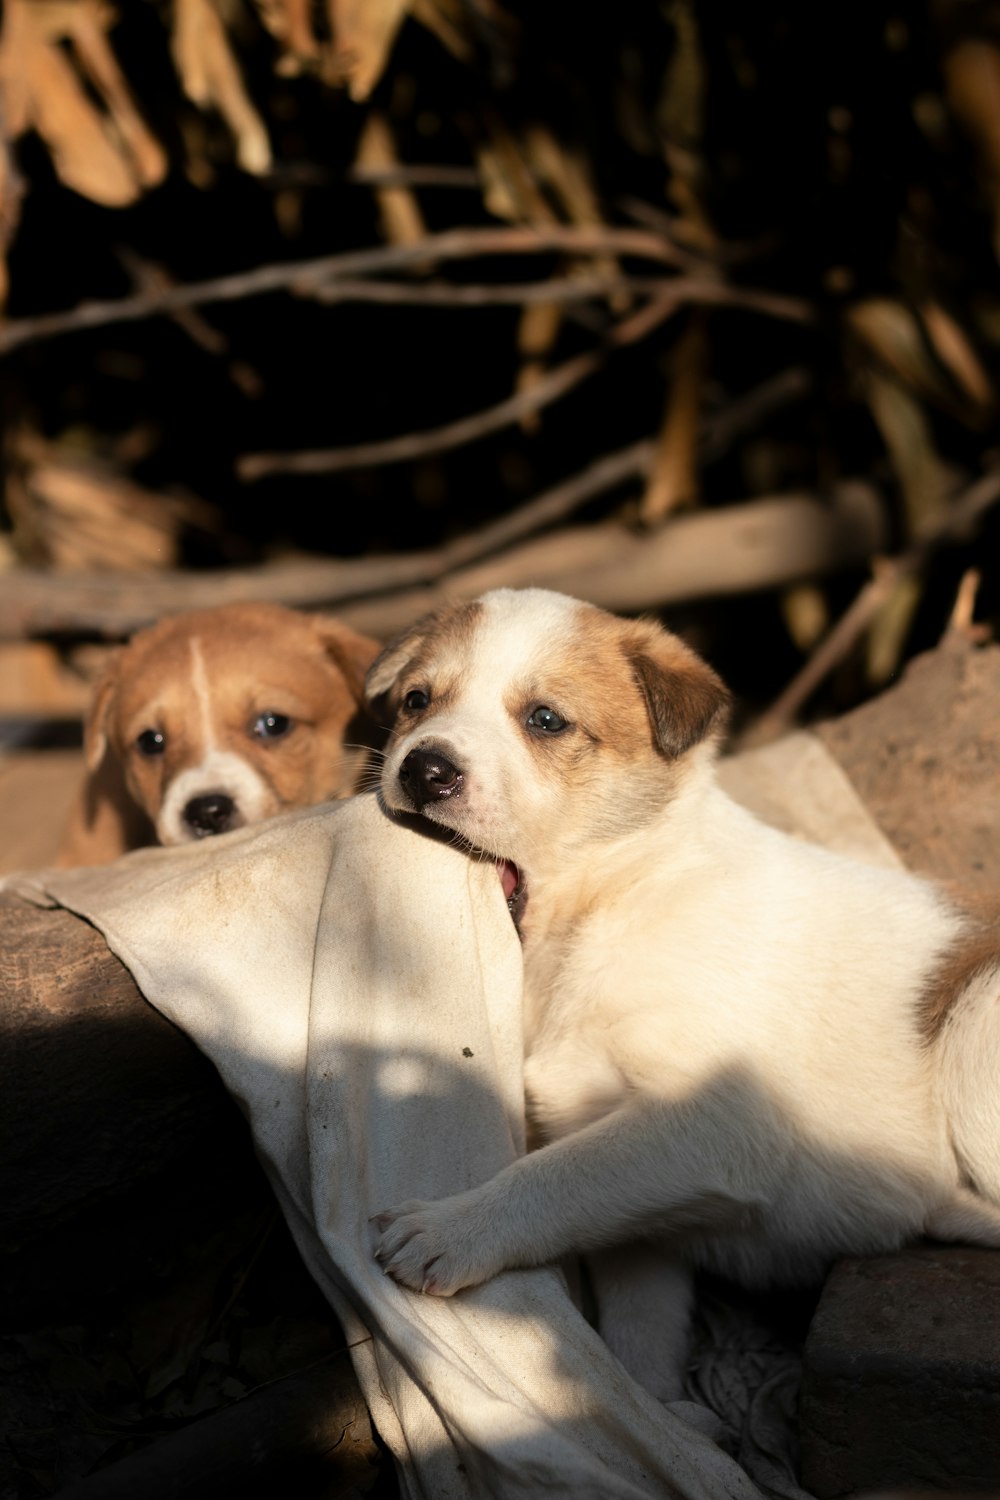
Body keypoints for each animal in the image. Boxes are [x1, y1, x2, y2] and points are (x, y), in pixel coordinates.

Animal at [365, 588, 1000, 1404]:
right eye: (417, 701)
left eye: (545, 720)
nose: (425, 769)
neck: (610, 904)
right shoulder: (639, 1208)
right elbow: (638, 1315)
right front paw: (655, 1409)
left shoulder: (717, 1118)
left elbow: (556, 1174)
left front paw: (451, 1228)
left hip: (976, 1022)